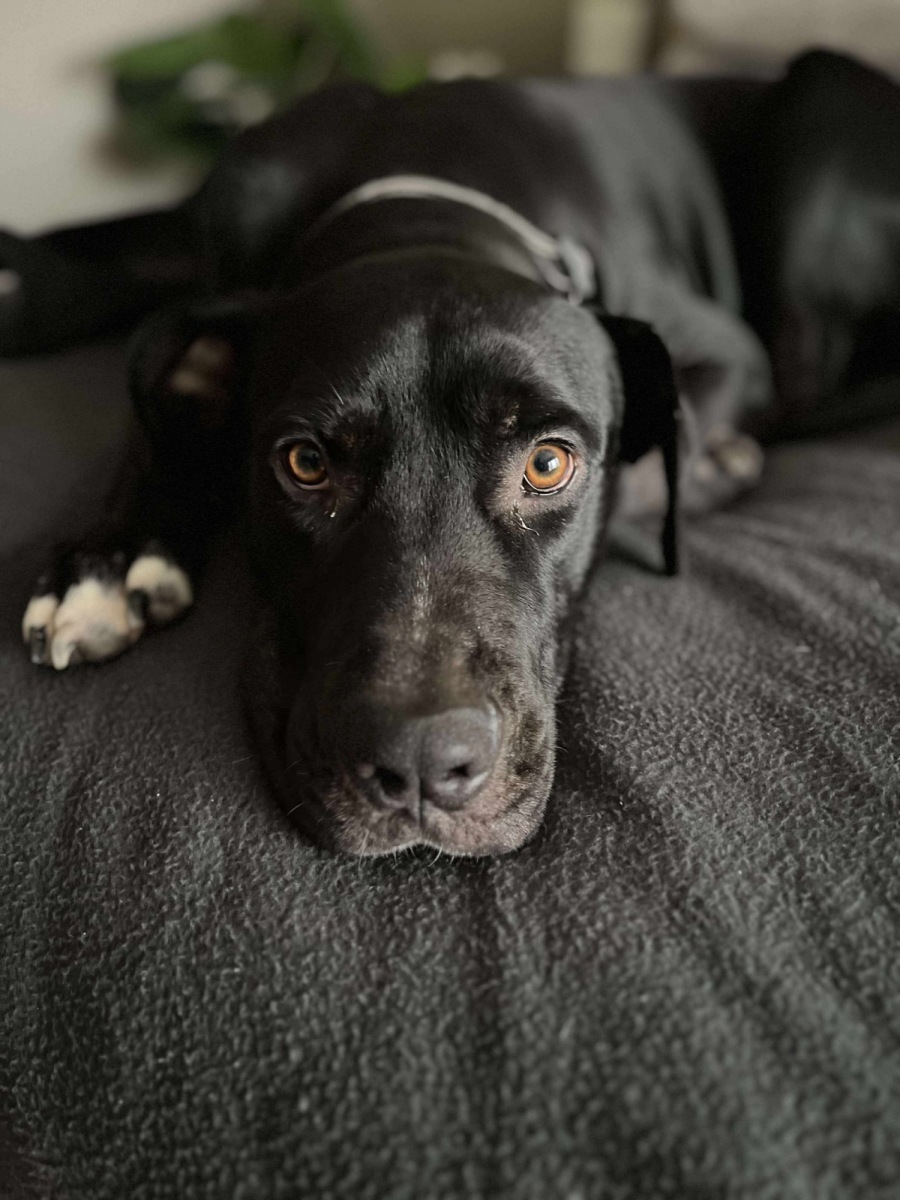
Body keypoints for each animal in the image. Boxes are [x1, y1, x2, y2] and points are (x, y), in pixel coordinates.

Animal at [6, 49, 900, 856]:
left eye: (549, 463)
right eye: (305, 463)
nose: (421, 762)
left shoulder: (726, 352)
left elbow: (658, 461)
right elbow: (150, 404)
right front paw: (109, 558)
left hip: (820, 108)